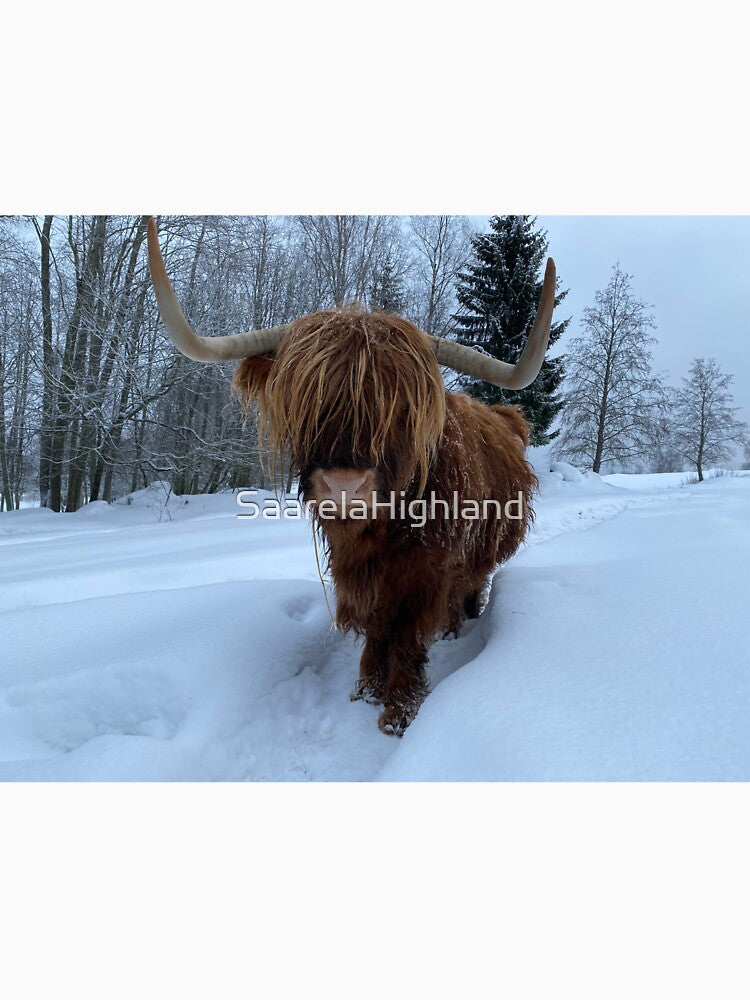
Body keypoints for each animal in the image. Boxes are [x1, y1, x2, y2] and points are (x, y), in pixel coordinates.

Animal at [147, 219, 556, 735]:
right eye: (307, 401)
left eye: (400, 409)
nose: (345, 487)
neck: (380, 533)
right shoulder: (358, 573)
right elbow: (378, 627)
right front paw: (366, 689)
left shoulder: (426, 574)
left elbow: (407, 635)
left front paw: (399, 709)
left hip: (481, 554)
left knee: (468, 590)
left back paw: (454, 628)